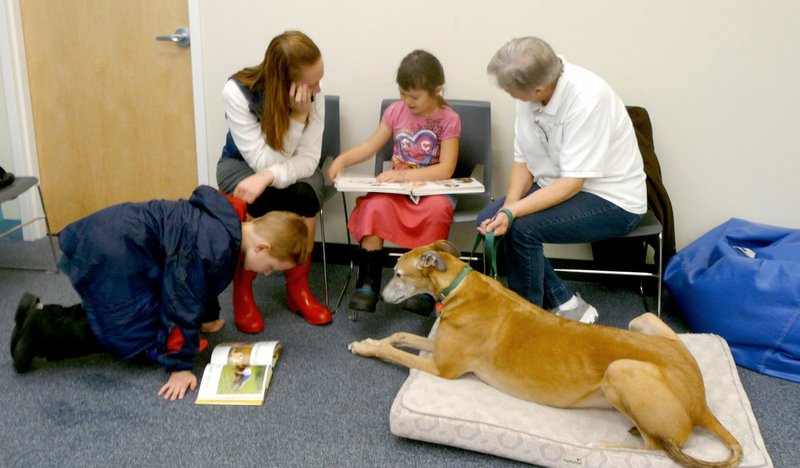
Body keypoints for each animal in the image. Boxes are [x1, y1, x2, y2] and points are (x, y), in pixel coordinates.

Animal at [350, 241, 744, 468]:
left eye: (398, 273)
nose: (381, 295)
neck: (460, 287)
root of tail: (701, 402)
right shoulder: (440, 349)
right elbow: (400, 335)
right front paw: (374, 340)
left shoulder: (443, 367)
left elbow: (394, 351)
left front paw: (367, 346)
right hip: (644, 321)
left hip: (621, 371)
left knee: (658, 447)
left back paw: (606, 445)